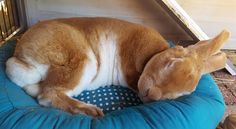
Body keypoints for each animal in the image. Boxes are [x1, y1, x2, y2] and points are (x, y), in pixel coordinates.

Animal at [5, 17, 230, 117]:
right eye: (171, 63)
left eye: (180, 95)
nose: (150, 94)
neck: (154, 55)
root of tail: (21, 55)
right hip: (82, 62)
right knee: (47, 95)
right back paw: (92, 111)